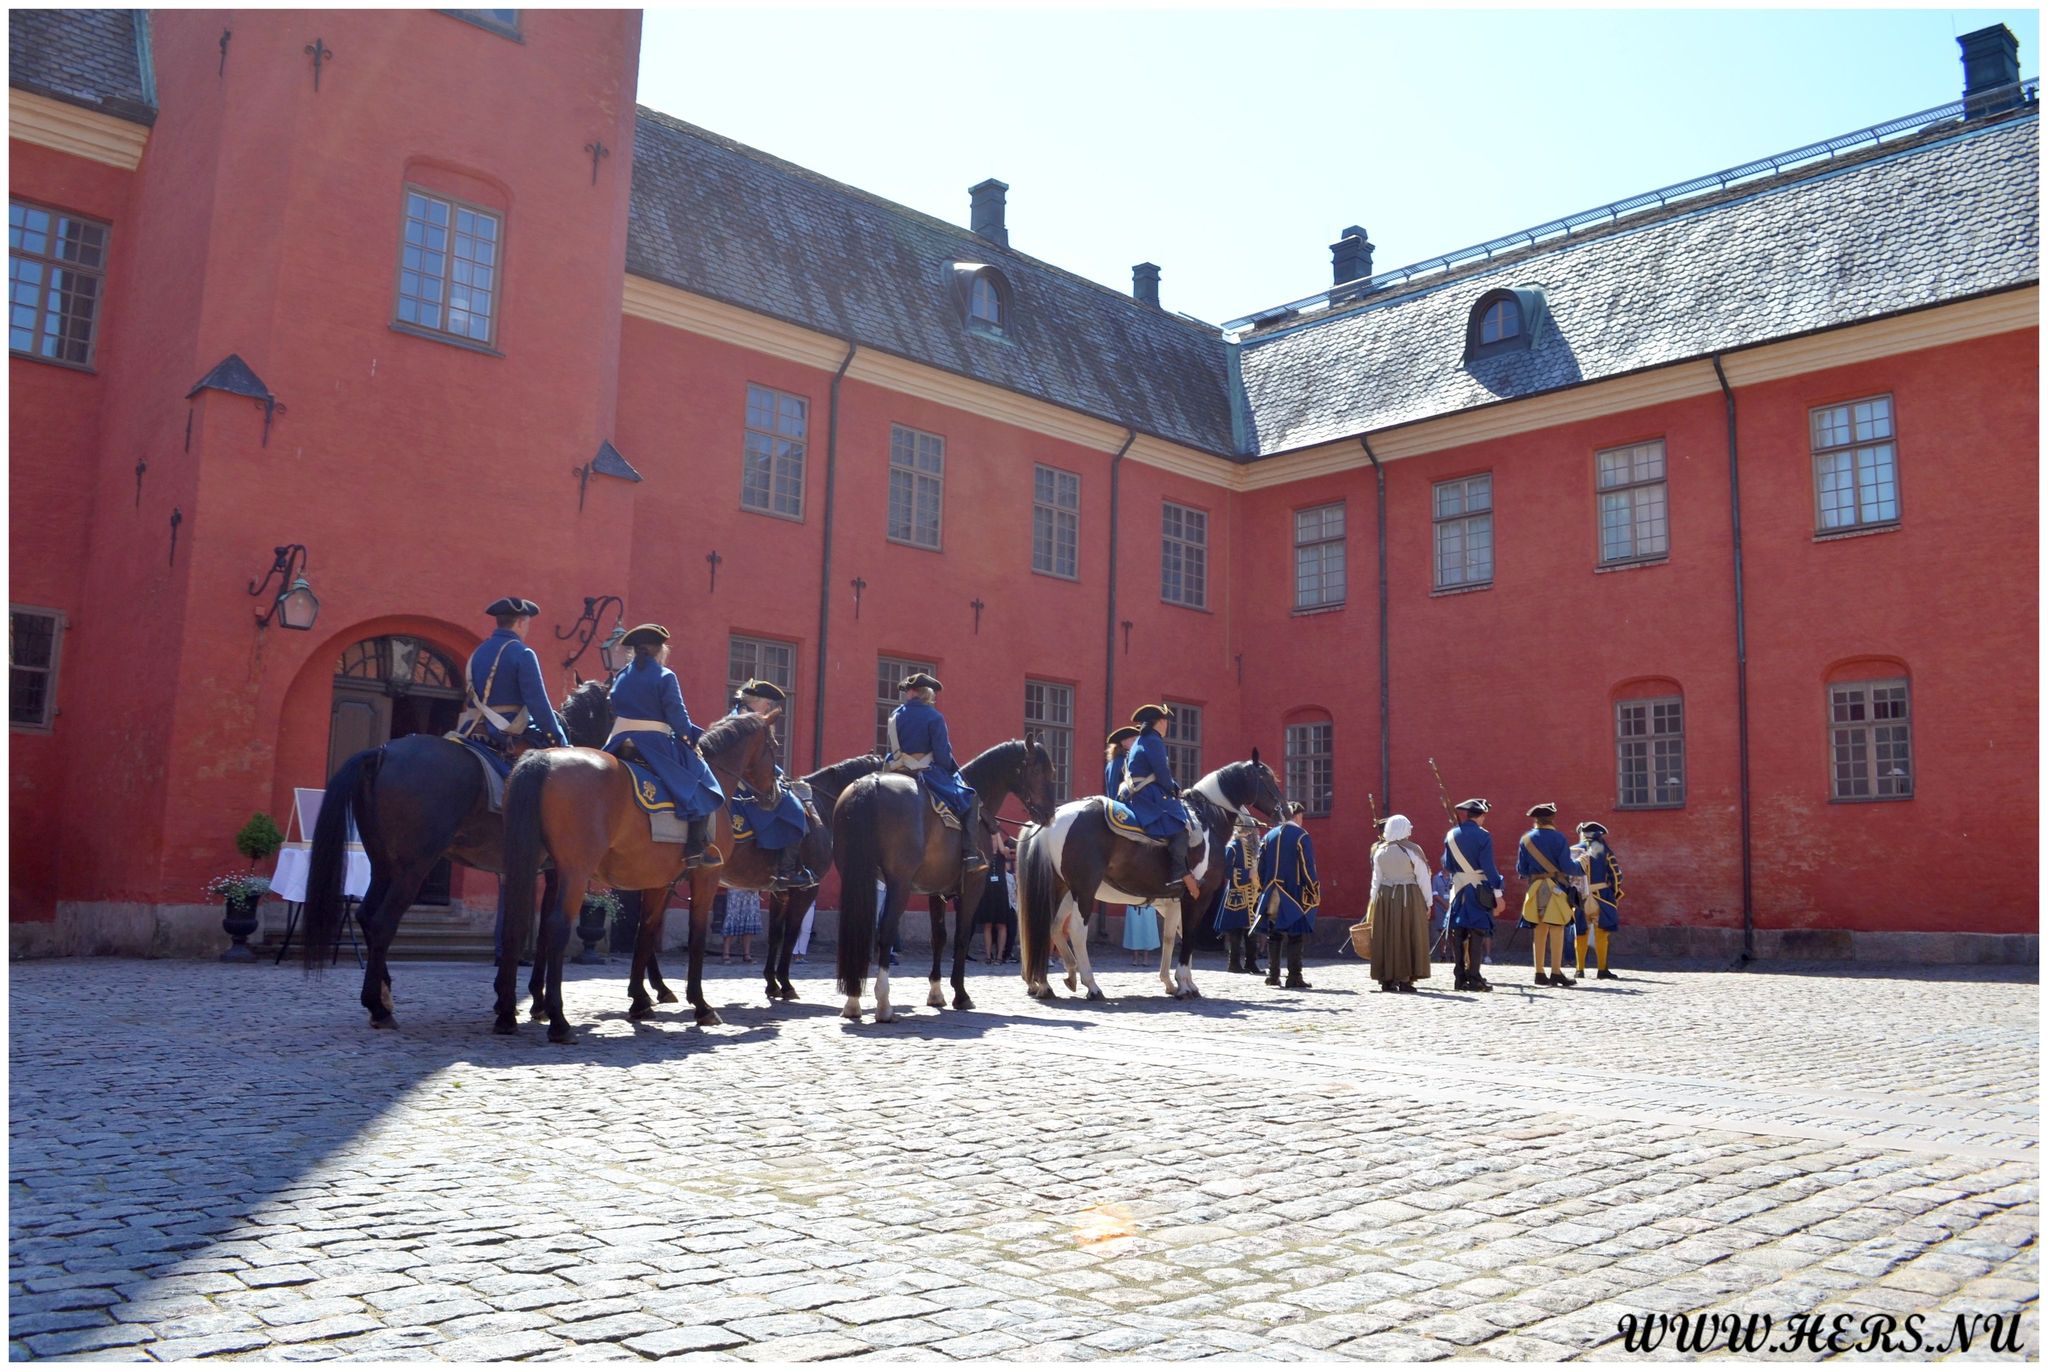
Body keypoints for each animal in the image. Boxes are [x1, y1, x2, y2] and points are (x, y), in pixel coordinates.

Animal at [299, 680, 610, 1020]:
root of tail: (381, 752)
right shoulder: (555, 871)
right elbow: (540, 932)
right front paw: (536, 1001)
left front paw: (512, 996)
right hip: (414, 866)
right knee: (383, 922)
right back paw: (378, 1005)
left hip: (382, 863)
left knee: (366, 915)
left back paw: (384, 992)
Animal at [499, 704, 778, 1036]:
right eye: (774, 746)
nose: (775, 794)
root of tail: (544, 759)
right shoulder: (706, 878)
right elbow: (695, 935)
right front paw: (700, 1005)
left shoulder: (657, 881)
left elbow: (644, 932)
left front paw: (640, 1000)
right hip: (575, 872)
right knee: (556, 926)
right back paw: (559, 1021)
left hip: (533, 864)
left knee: (517, 922)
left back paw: (509, 1013)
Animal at [831, 737, 1056, 1016]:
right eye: (1038, 771)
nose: (1049, 814)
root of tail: (869, 785)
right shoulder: (973, 886)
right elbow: (961, 936)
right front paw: (961, 994)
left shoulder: (934, 890)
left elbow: (938, 937)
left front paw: (936, 993)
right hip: (898, 885)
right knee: (885, 932)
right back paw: (883, 1002)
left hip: (855, 878)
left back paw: (852, 1001)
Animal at [1019, 754, 1286, 1000]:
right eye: (1267, 778)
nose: (1286, 810)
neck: (1209, 820)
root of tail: (1054, 818)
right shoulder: (1198, 896)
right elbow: (1188, 935)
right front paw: (1184, 984)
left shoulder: (1174, 900)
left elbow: (1170, 937)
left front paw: (1174, 983)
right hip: (1084, 891)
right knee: (1075, 930)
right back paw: (1091, 985)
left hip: (1062, 889)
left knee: (1049, 927)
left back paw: (1052, 982)